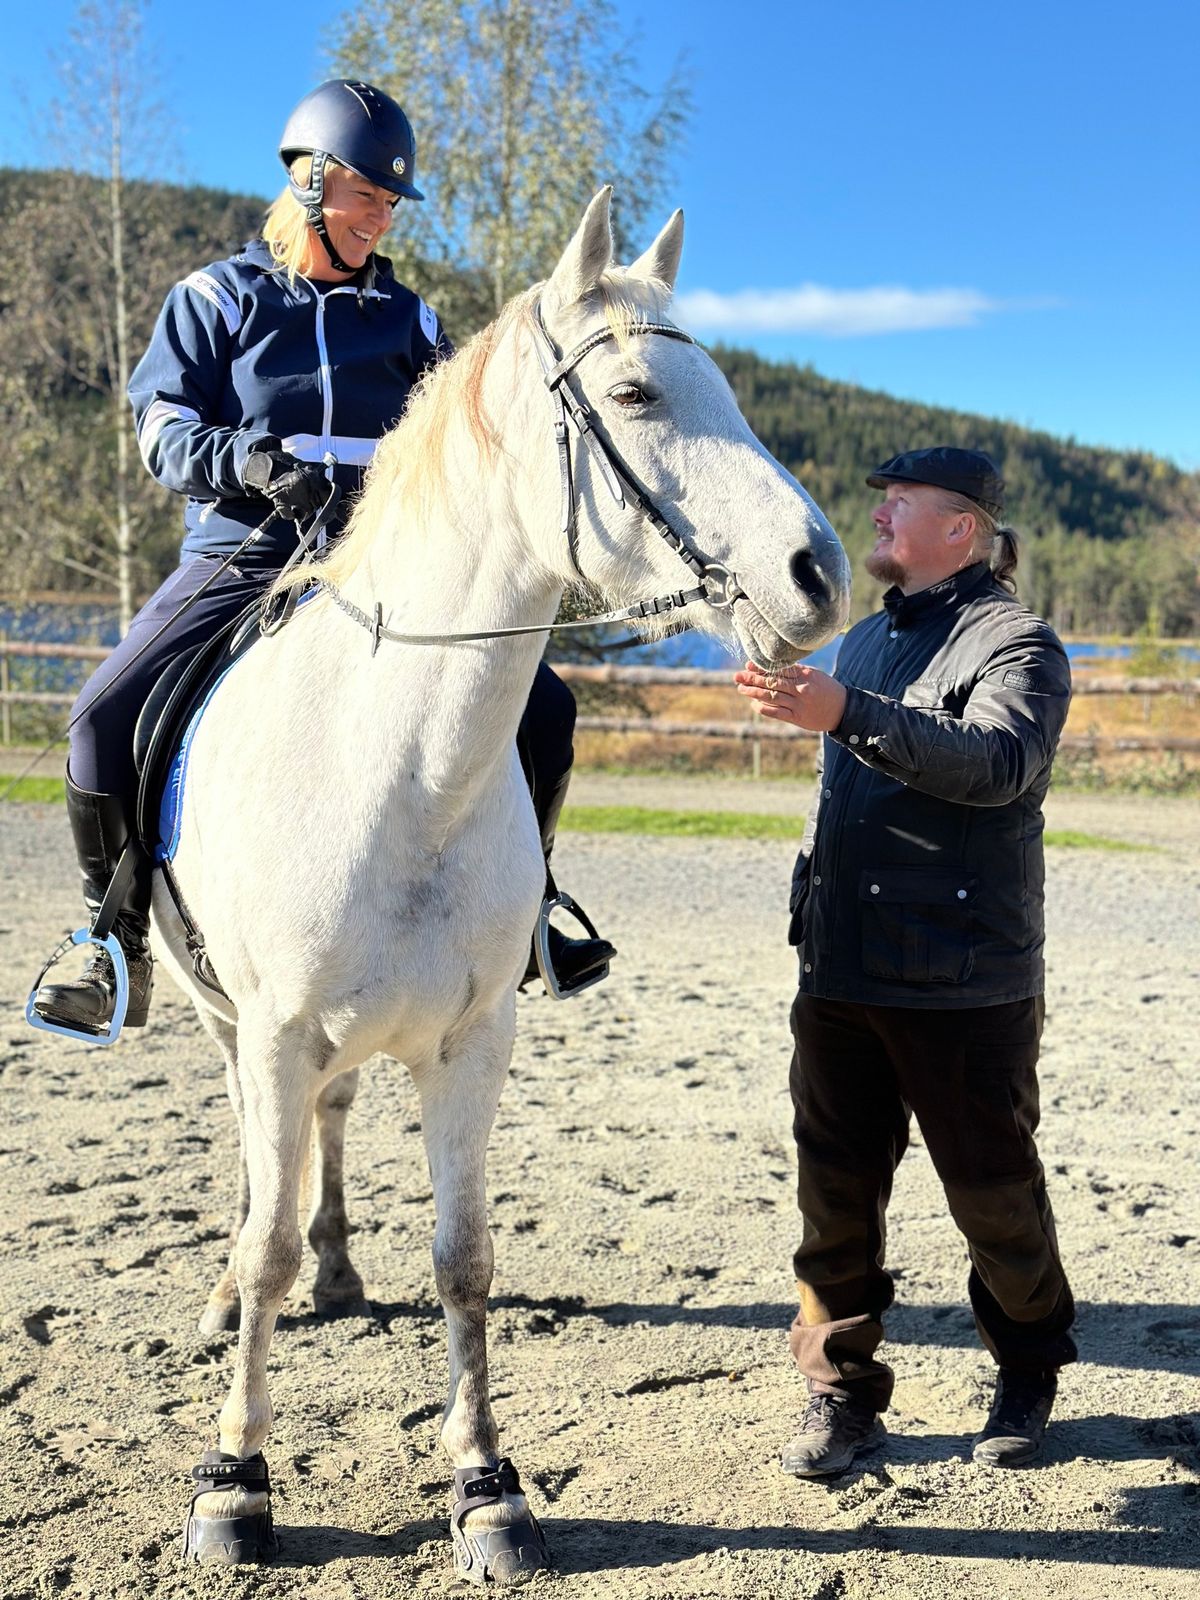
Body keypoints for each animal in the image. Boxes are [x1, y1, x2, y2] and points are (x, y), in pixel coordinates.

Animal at [160, 193, 857, 1580]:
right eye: (636, 391)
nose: (820, 575)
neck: (394, 764)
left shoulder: (476, 1038)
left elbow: (465, 1258)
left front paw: (488, 1485)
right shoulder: (271, 1029)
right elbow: (263, 1247)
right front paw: (236, 1479)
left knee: (326, 1136)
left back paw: (342, 1273)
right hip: (222, 1015)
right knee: (262, 1171)